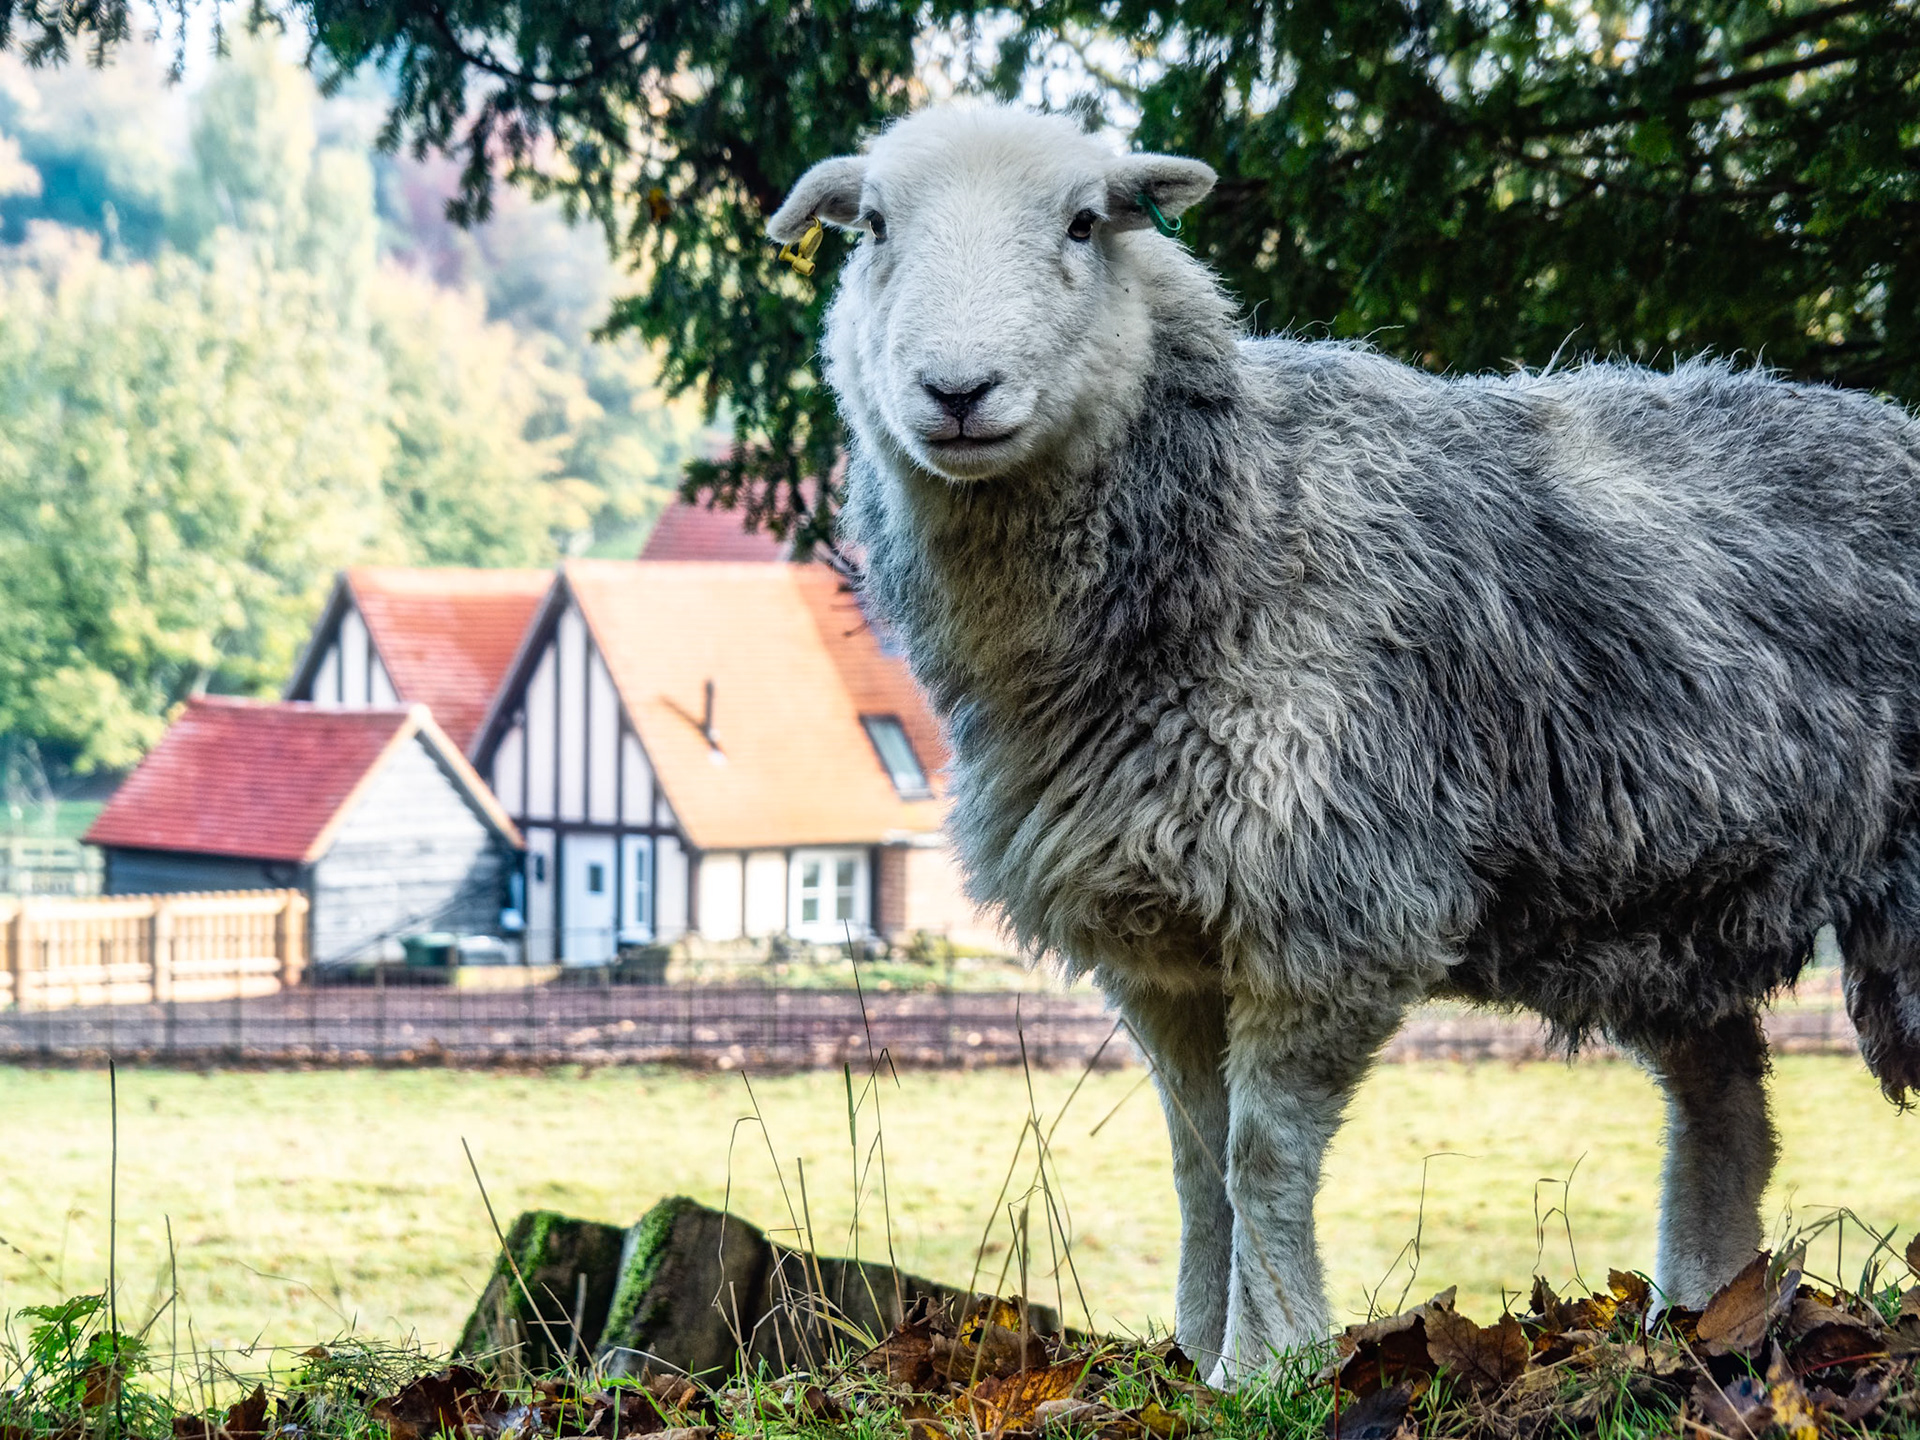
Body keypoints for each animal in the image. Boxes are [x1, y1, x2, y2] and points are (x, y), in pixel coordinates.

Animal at [768, 102, 1920, 1382]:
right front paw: (1197, 1359)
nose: (958, 390)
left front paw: (1269, 1364)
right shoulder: (1157, 938)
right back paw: (1699, 1319)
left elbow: (1259, 1157)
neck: (1242, 518)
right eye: (874, 226)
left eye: (1084, 222)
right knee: (1726, 1115)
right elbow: (1196, 1162)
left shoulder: (1331, 909)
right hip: (1672, 909)